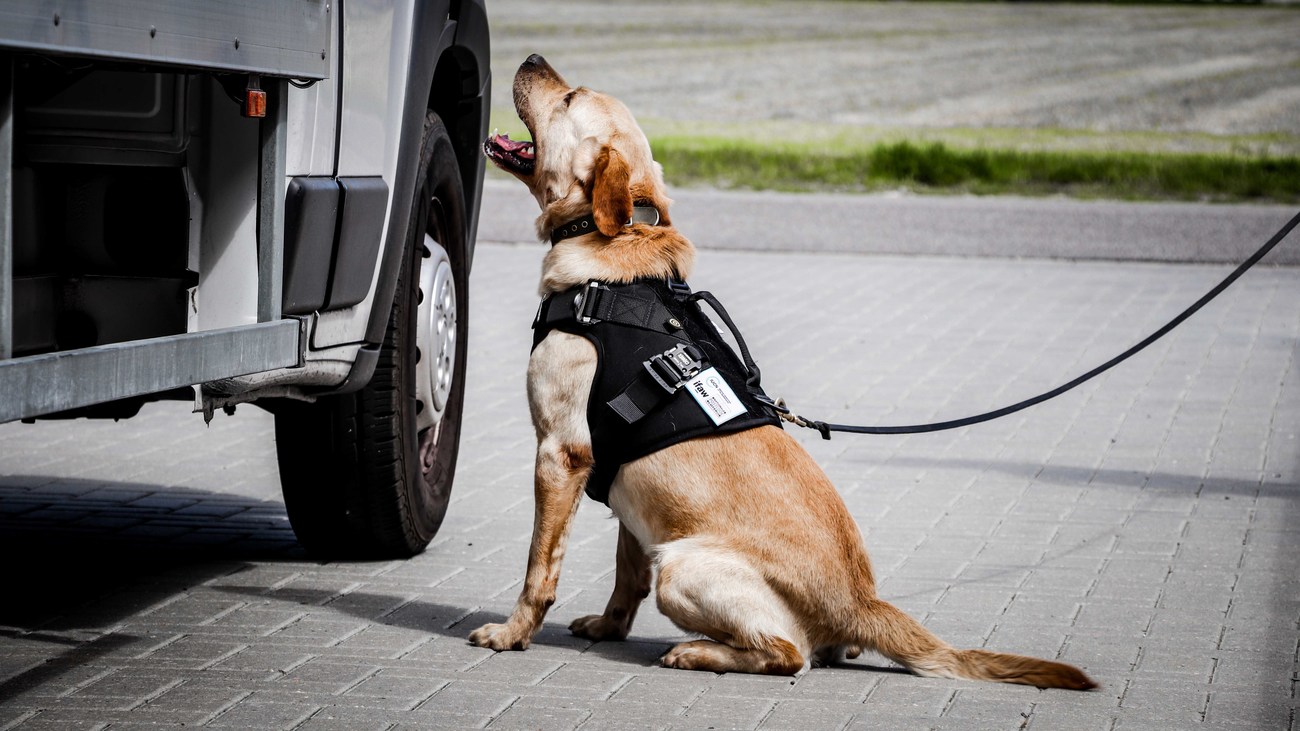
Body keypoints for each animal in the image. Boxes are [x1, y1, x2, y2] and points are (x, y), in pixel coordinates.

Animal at [473, 53, 1092, 686]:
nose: (531, 58)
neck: (609, 255)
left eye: (570, 97)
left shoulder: (561, 453)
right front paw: (607, 626)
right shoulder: (627, 487)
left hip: (682, 566)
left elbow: (539, 567)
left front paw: (513, 633)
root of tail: (862, 602)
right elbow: (626, 575)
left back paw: (697, 651)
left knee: (790, 654)